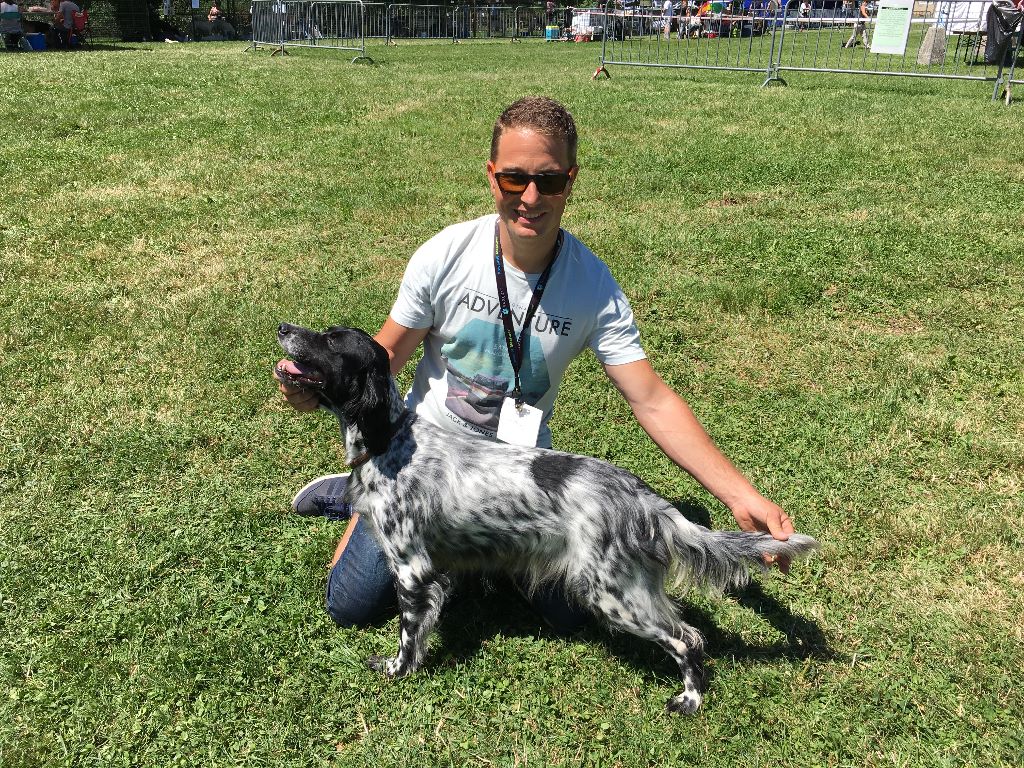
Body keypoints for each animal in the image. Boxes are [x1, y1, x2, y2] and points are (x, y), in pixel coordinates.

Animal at [276, 323, 819, 716]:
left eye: (331, 339)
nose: (283, 327)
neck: (391, 440)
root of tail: (645, 500)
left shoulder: (412, 570)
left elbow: (410, 634)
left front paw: (396, 670)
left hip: (614, 594)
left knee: (687, 638)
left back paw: (690, 699)